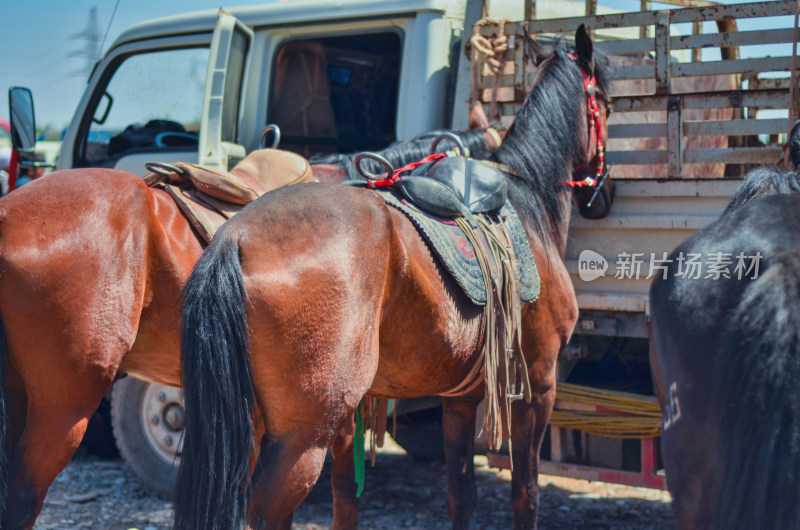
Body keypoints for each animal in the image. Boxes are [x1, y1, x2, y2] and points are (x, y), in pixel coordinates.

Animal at [175, 24, 612, 528]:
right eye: (606, 101)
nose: (603, 195)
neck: (526, 199)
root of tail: (236, 237)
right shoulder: (538, 385)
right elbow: (526, 495)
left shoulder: (459, 397)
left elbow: (461, 494)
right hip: (304, 436)